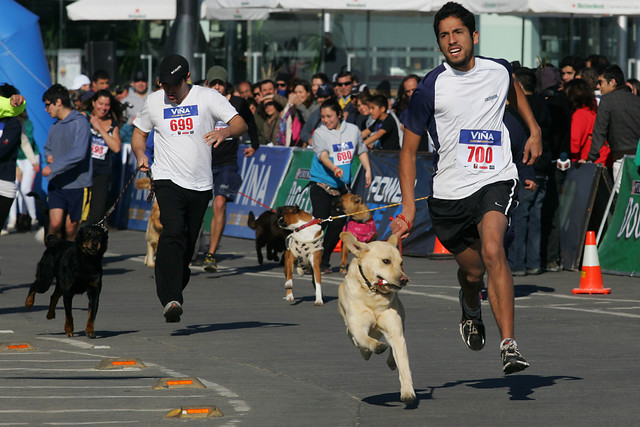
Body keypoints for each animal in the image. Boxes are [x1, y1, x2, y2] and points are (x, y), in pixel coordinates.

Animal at [340, 231, 416, 404]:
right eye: (386, 261)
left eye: (401, 263)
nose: (404, 279)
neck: (373, 294)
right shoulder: (357, 327)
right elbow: (364, 339)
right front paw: (376, 346)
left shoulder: (395, 331)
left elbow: (404, 366)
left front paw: (407, 392)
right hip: (349, 331)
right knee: (360, 345)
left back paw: (391, 361)